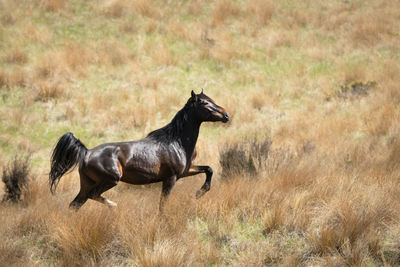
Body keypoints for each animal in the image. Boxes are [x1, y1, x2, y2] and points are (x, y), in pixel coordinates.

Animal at [48, 91, 230, 213]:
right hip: (110, 180)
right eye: (204, 103)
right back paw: (113, 205)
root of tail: (86, 153)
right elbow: (162, 205)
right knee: (92, 196)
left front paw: (199, 193)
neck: (176, 141)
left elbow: (209, 169)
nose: (226, 115)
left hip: (87, 183)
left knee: (75, 204)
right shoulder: (170, 178)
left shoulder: (185, 171)